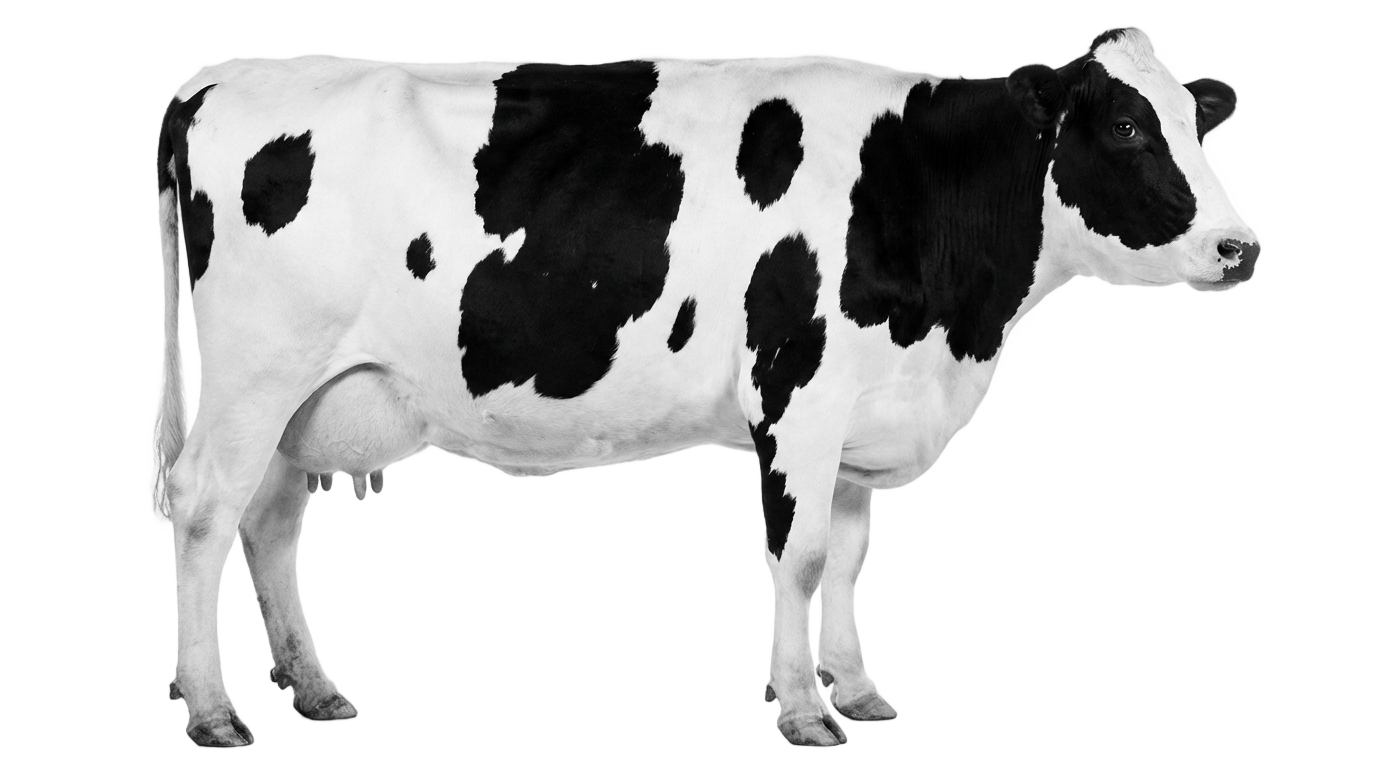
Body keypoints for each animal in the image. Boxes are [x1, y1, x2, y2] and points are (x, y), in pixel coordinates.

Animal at [150, 25, 1257, 748]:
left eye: (1195, 124)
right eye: (1123, 128)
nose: (1234, 246)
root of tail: (206, 94)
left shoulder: (863, 421)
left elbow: (848, 560)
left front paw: (857, 689)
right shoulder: (797, 398)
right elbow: (800, 558)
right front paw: (801, 710)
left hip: (300, 398)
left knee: (268, 524)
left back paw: (313, 691)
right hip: (251, 374)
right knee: (203, 515)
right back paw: (211, 710)